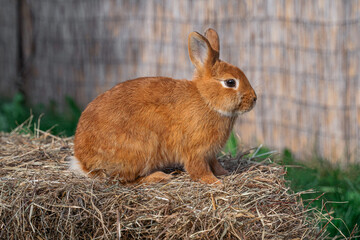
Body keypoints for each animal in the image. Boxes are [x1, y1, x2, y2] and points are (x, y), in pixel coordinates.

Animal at [70, 28, 256, 186]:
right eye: (230, 82)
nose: (254, 99)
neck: (206, 99)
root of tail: (83, 161)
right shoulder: (196, 150)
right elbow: (198, 169)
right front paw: (215, 182)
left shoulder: (210, 154)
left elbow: (215, 164)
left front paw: (224, 173)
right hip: (143, 148)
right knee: (124, 179)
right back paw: (159, 176)